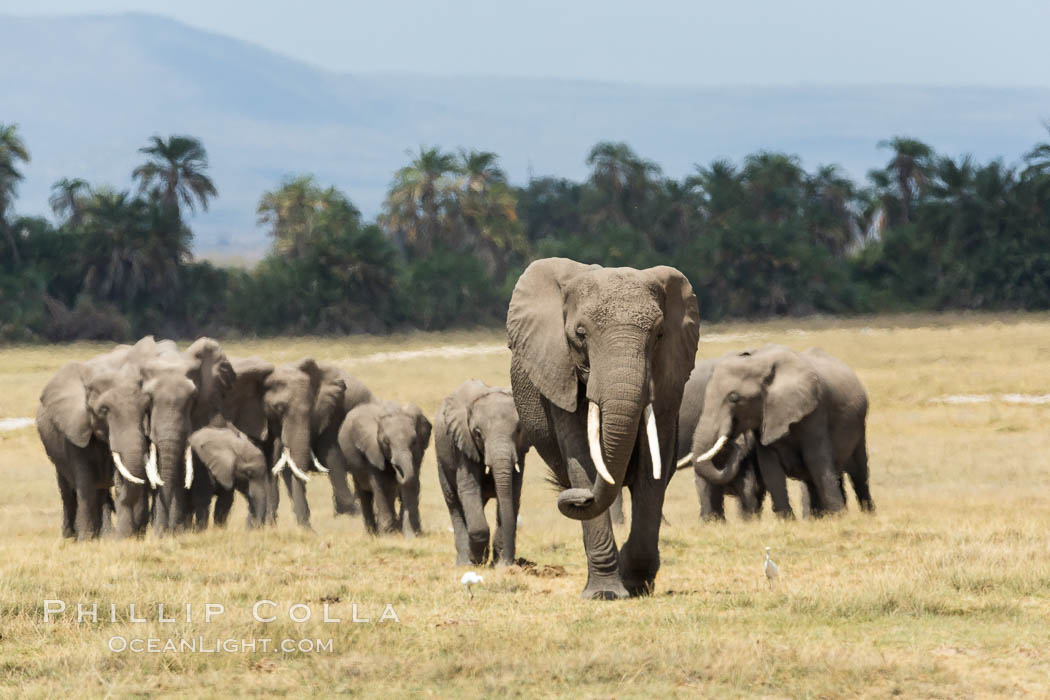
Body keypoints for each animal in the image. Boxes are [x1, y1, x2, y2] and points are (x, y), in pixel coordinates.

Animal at [340, 398, 430, 537]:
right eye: (386, 442)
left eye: (414, 442)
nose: (396, 468)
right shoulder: (372, 450)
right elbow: (381, 485)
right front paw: (387, 536)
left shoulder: (417, 453)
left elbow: (411, 483)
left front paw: (412, 536)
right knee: (365, 494)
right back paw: (372, 534)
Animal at [436, 379, 533, 566]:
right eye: (478, 433)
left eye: (519, 430)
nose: (509, 562)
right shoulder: (463, 444)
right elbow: (469, 488)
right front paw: (477, 560)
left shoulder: (520, 450)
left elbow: (512, 493)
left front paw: (499, 565)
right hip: (441, 459)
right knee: (454, 502)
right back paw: (465, 562)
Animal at [506, 260, 697, 600]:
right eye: (580, 334)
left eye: (659, 334)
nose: (576, 498)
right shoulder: (559, 373)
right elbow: (581, 458)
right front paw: (605, 594)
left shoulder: (667, 382)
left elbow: (653, 467)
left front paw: (635, 583)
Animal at [680, 346, 869, 520]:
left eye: (734, 398)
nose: (733, 439)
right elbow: (770, 467)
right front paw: (786, 520)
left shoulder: (815, 414)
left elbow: (817, 460)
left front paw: (838, 517)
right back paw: (816, 518)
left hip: (860, 428)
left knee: (859, 473)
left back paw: (866, 513)